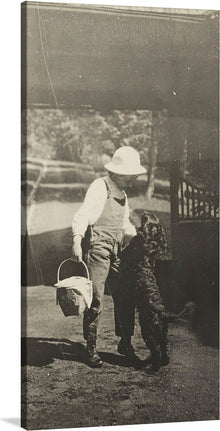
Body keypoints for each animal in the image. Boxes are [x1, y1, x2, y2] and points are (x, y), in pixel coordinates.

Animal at [120, 211, 170, 372]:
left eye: (147, 219)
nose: (145, 212)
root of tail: (162, 313)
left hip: (148, 333)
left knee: (156, 351)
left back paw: (152, 367)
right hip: (163, 334)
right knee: (164, 349)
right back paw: (163, 363)